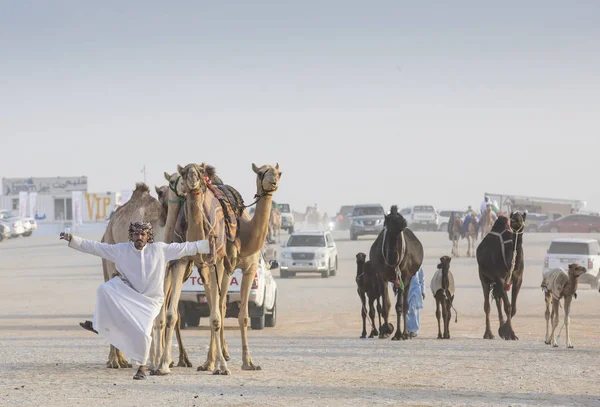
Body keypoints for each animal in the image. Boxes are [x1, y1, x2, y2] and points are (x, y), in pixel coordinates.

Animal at [368, 204, 424, 342]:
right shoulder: (382, 277)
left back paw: (405, 333)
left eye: (400, 216)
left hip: (408, 278)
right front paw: (386, 330)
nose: (404, 222)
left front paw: (398, 334)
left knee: (405, 305)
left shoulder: (403, 277)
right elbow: (385, 306)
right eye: (391, 220)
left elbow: (399, 306)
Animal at [478, 212, 524, 342]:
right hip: (484, 277)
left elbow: (513, 308)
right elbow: (508, 307)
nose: (517, 219)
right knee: (487, 306)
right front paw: (510, 333)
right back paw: (488, 334)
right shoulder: (500, 278)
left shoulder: (518, 279)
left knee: (498, 299)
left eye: (523, 215)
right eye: (514, 215)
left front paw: (504, 331)